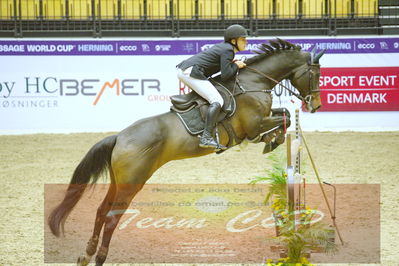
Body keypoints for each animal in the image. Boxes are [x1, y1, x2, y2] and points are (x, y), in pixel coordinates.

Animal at [48, 38, 326, 264]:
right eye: (315, 74)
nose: (316, 105)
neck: (253, 82)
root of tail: (119, 138)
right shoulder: (253, 124)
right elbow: (284, 117)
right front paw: (270, 140)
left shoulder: (263, 119)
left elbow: (284, 115)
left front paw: (272, 139)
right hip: (132, 183)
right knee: (112, 217)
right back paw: (100, 257)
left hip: (120, 181)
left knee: (101, 211)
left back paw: (86, 255)